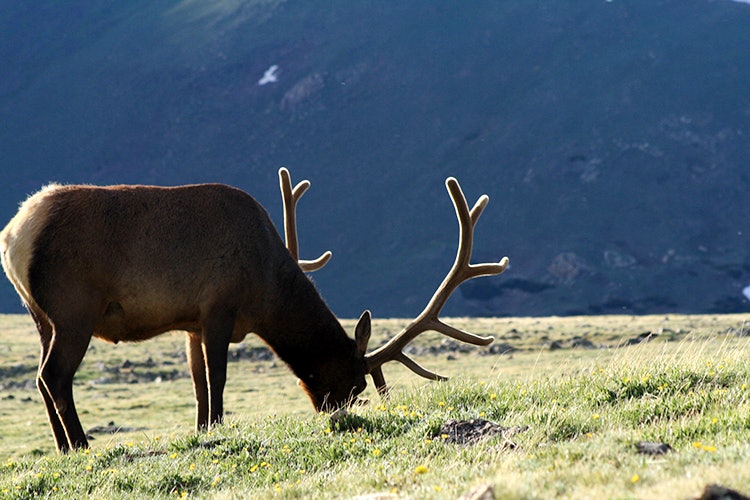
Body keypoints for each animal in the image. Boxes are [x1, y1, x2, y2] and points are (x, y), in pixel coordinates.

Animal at [0, 168, 512, 454]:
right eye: (356, 382)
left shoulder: (190, 321)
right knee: (54, 376)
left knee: (42, 378)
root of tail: (14, 234)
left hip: (41, 316)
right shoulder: (218, 306)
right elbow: (218, 378)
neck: (266, 286)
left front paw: (203, 430)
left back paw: (64, 448)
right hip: (74, 311)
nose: (337, 416)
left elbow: (197, 383)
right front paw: (217, 427)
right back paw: (82, 445)